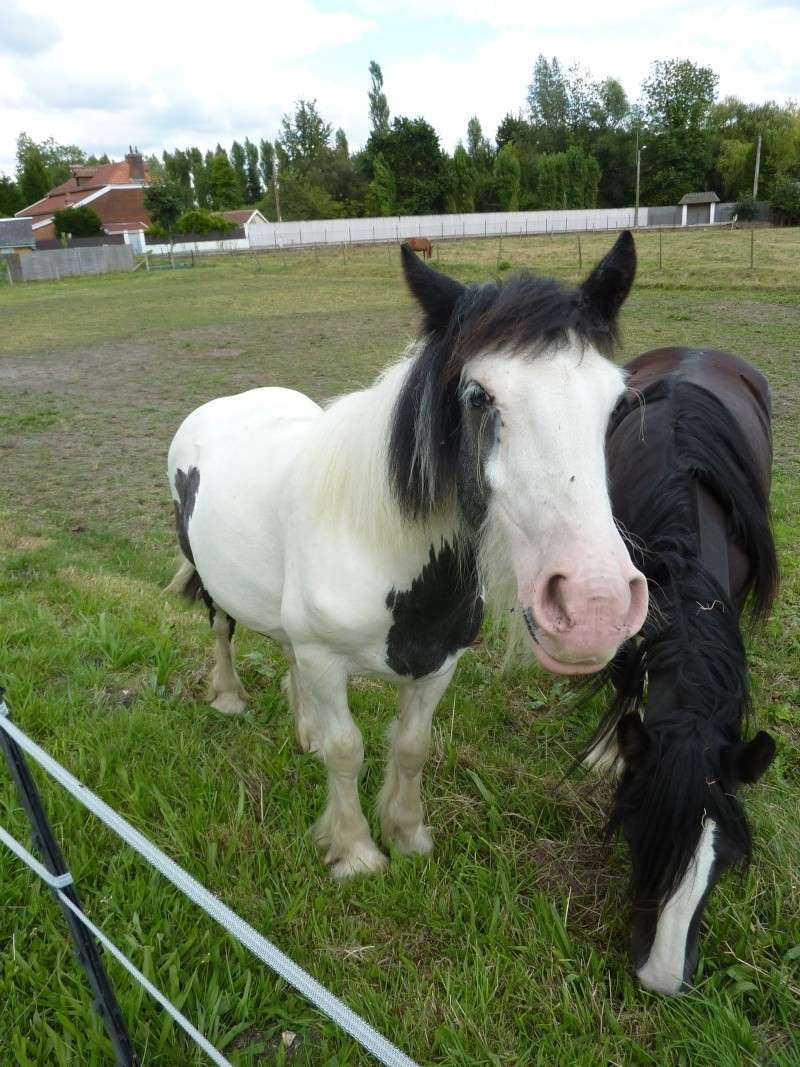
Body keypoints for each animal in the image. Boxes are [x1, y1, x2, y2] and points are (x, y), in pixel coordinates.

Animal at [170, 237, 652, 879]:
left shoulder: (438, 662)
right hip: (211, 581)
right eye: (478, 396)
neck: (376, 542)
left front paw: (406, 834)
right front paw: (355, 853)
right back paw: (228, 698)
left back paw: (304, 731)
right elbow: (347, 749)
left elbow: (410, 744)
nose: (594, 606)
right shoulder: (326, 659)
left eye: (616, 402)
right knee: (222, 630)